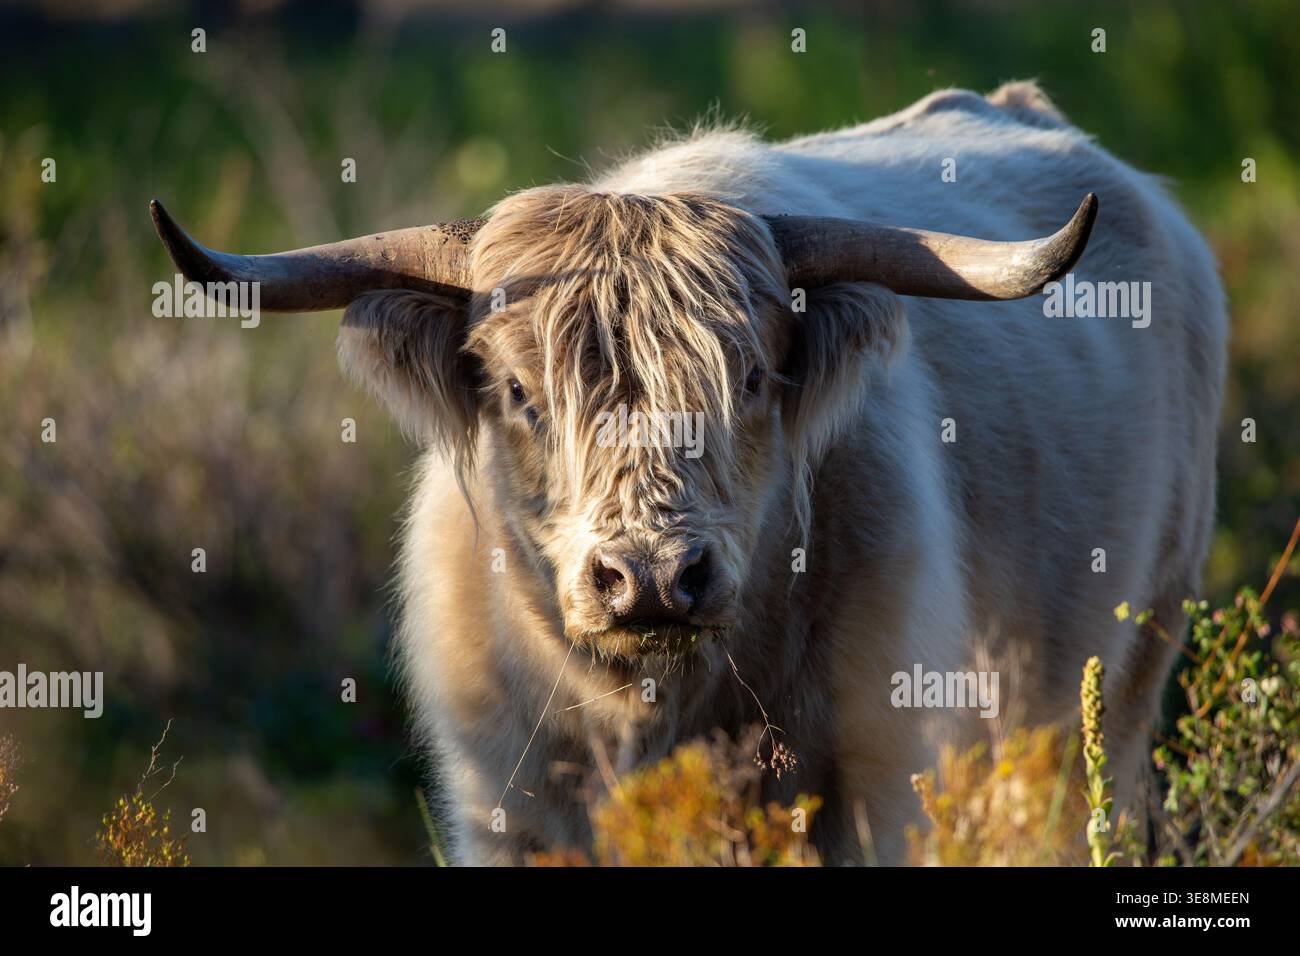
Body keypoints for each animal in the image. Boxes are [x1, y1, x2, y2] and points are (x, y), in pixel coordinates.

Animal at [151, 82, 1227, 865]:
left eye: (750, 376)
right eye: (516, 388)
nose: (653, 577)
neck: (655, 707)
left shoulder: (873, 784)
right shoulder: (510, 808)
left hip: (1121, 685)